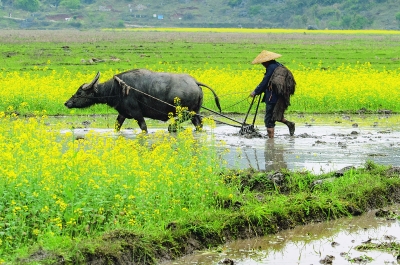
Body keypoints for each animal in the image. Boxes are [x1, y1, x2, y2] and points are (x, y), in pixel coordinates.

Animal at [65, 68, 222, 131]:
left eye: (79, 92)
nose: (67, 103)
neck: (117, 89)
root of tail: (195, 82)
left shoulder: (137, 114)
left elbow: (144, 128)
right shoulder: (122, 114)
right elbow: (117, 127)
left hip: (186, 112)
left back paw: (172, 127)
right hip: (195, 112)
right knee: (199, 124)